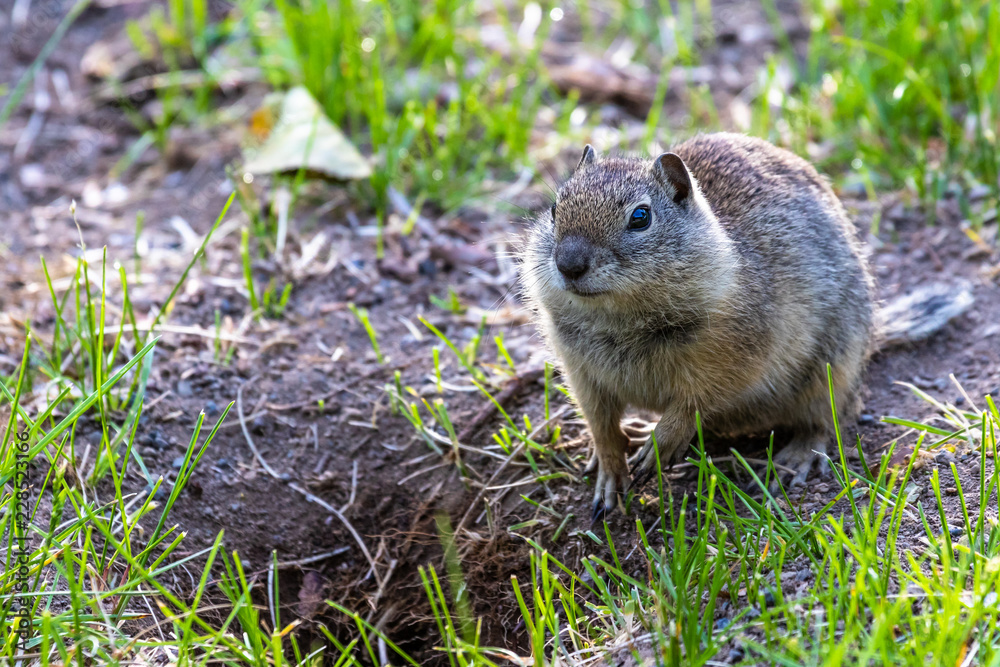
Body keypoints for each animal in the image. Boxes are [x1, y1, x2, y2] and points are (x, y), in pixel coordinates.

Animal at [521, 133, 876, 520]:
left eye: (641, 217)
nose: (569, 265)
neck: (618, 317)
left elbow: (695, 402)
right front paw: (610, 476)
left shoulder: (736, 356)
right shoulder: (581, 373)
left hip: (833, 368)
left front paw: (658, 447)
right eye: (555, 210)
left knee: (826, 421)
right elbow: (600, 424)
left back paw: (796, 459)